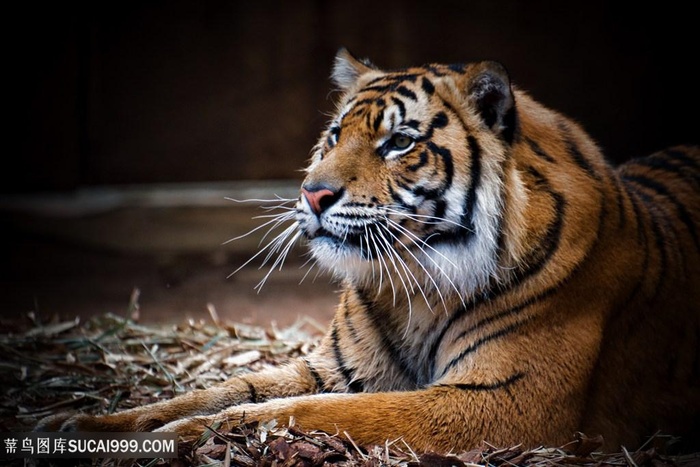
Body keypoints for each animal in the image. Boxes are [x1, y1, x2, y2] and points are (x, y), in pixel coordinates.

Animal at [39, 49, 700, 456]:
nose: (312, 192)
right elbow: (227, 389)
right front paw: (85, 424)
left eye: (399, 142)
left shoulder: (502, 398)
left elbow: (314, 412)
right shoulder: (337, 367)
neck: (417, 286)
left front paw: (176, 439)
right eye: (335, 134)